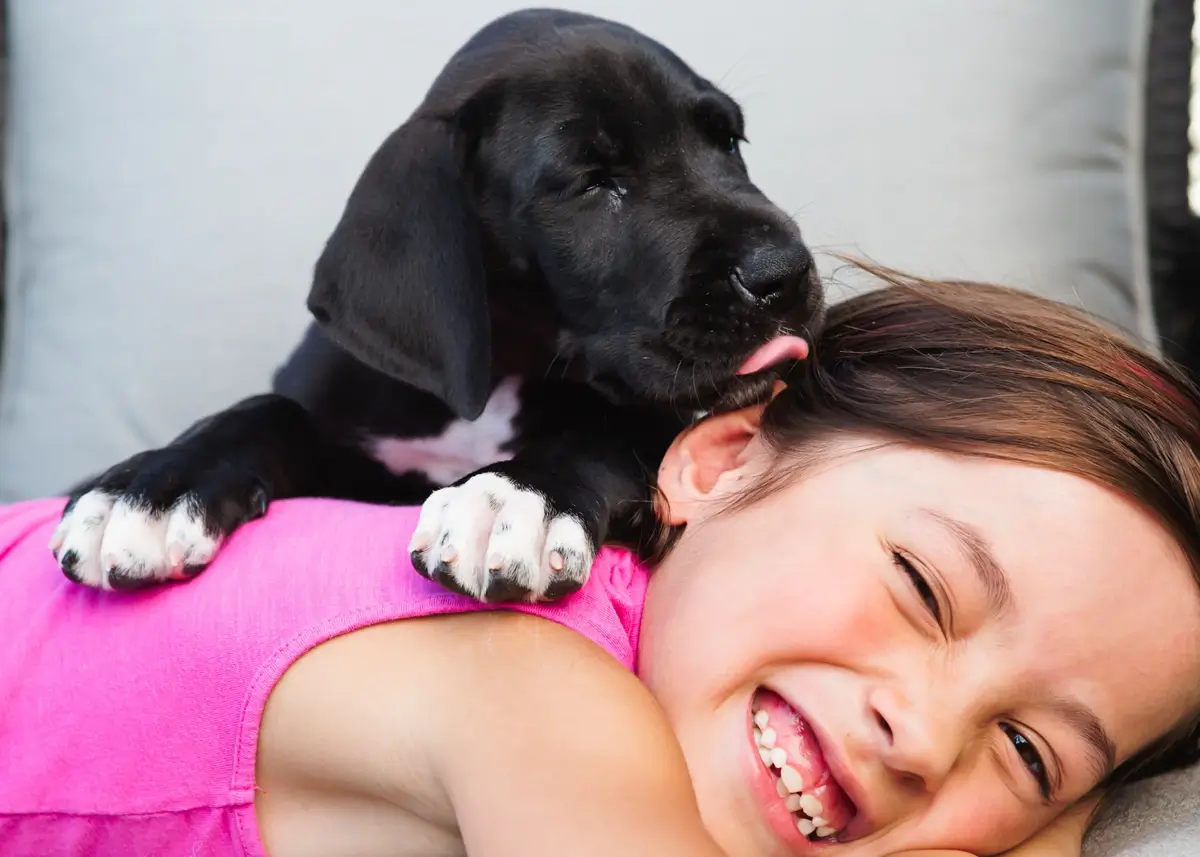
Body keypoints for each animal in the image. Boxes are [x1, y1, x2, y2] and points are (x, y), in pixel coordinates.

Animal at [51, 6, 820, 597]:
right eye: (593, 182)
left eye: (728, 140)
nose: (784, 272)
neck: (495, 375)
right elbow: (270, 410)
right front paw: (153, 485)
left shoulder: (642, 420)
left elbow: (605, 431)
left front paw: (514, 496)